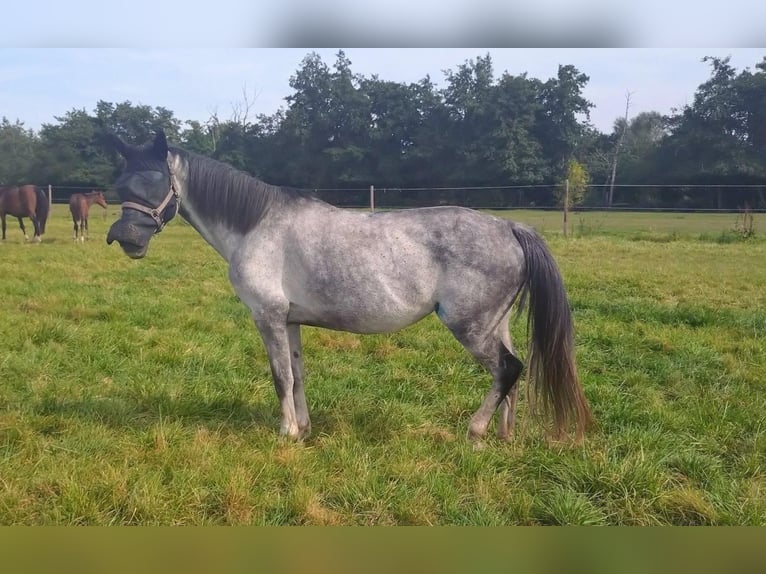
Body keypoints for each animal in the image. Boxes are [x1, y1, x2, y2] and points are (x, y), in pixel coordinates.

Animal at [106, 130, 591, 444]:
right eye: (120, 185)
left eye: (156, 182)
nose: (126, 239)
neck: (256, 225)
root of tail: (509, 227)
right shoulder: (290, 320)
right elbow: (298, 374)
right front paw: (302, 430)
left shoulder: (267, 317)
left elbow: (280, 376)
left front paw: (284, 434)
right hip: (495, 324)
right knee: (512, 371)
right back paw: (504, 435)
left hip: (470, 327)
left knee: (507, 368)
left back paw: (474, 432)